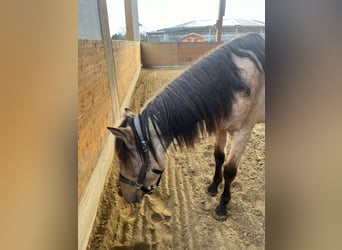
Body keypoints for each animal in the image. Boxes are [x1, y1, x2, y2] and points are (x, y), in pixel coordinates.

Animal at [107, 33, 264, 221]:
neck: (234, 83)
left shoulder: (243, 132)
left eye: (128, 162)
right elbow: (218, 157)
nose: (126, 196)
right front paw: (213, 187)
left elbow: (230, 170)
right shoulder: (220, 127)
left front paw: (222, 206)